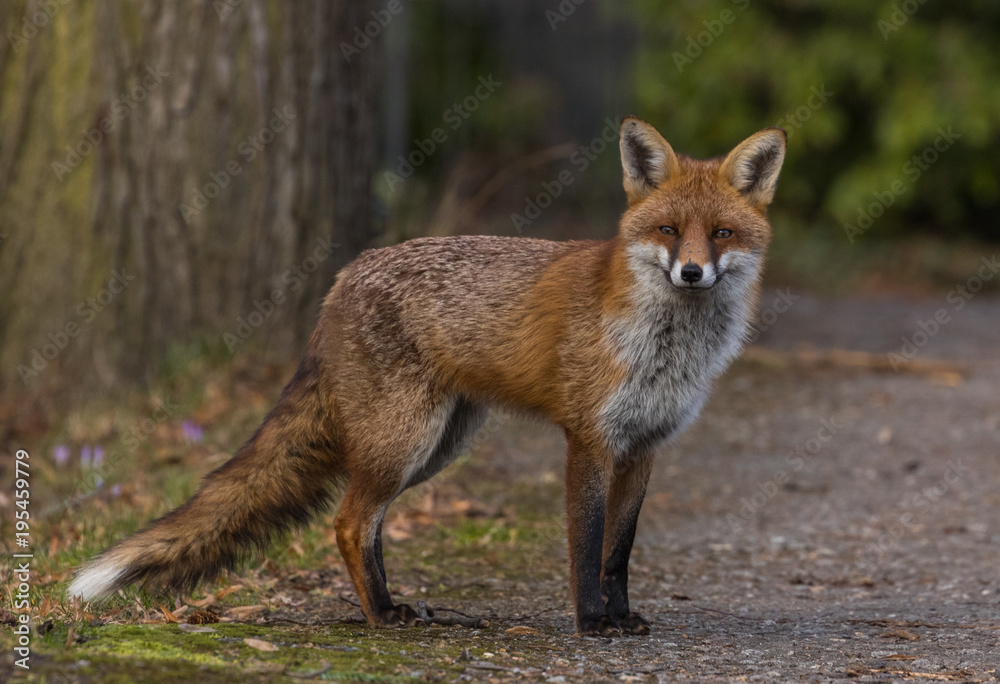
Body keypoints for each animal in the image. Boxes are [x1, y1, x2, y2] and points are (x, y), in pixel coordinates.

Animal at [72, 116, 788, 636]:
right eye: (668, 229)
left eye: (722, 234)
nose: (691, 272)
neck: (666, 347)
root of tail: (340, 282)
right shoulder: (588, 439)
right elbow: (585, 549)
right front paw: (591, 622)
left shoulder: (643, 446)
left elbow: (619, 552)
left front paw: (621, 616)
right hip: (404, 440)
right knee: (347, 521)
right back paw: (380, 618)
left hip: (433, 448)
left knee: (367, 523)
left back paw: (392, 606)